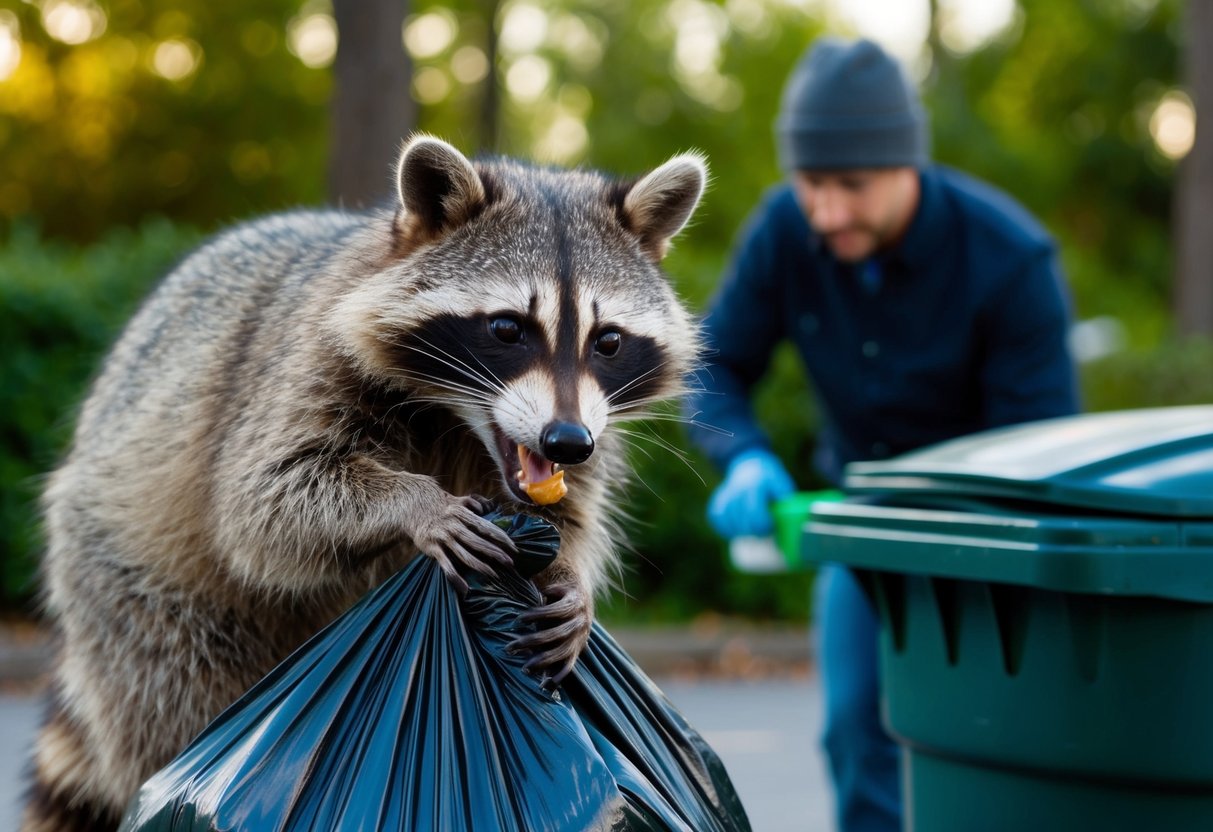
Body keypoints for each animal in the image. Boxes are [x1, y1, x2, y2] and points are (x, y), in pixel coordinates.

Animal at [21, 136, 707, 831]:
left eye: (609, 341)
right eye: (507, 328)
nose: (565, 441)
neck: (458, 421)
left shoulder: (594, 427)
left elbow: (571, 514)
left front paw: (568, 574)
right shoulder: (303, 359)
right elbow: (263, 499)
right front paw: (416, 503)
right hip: (142, 593)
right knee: (172, 686)